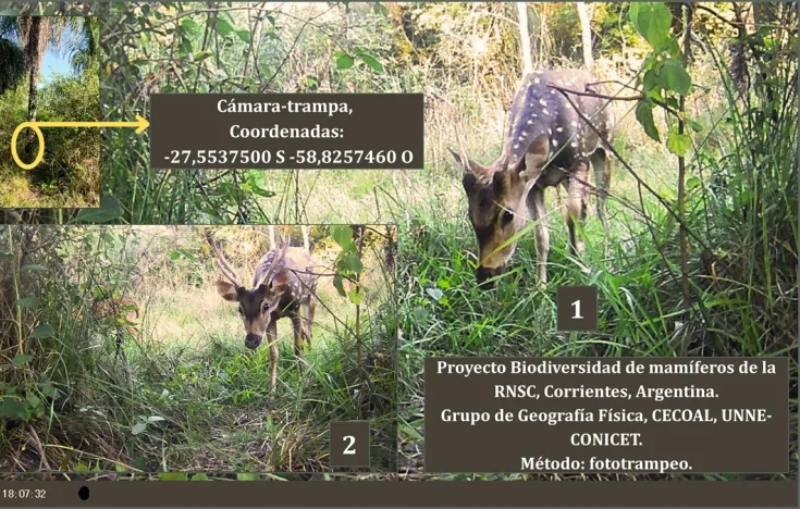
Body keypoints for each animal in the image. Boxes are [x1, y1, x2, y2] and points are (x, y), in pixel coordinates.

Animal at [205, 228, 318, 390]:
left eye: (266, 306)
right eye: (240, 309)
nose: (251, 341)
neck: (279, 303)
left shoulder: (295, 309)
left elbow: (297, 348)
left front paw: (302, 381)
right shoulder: (271, 320)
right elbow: (274, 353)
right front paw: (272, 388)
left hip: (311, 295)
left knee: (309, 329)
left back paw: (310, 356)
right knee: (305, 329)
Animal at [449, 69, 615, 288]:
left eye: (507, 215)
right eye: (470, 215)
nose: (485, 276)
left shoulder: (579, 162)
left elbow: (571, 213)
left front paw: (576, 262)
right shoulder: (533, 185)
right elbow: (541, 235)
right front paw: (540, 287)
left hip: (605, 149)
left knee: (601, 207)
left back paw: (607, 258)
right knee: (587, 205)